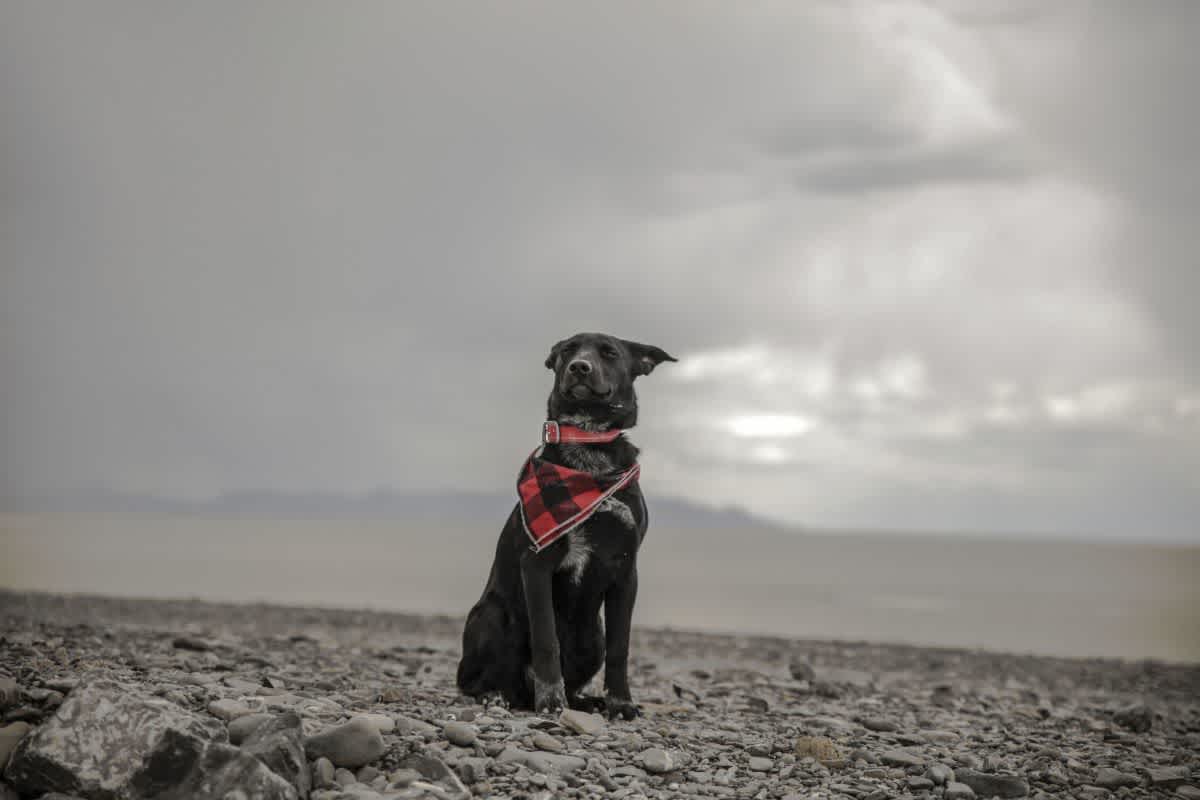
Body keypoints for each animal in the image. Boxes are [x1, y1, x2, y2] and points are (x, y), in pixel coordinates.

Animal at [453, 331, 676, 719]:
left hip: (593, 638)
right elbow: (546, 640)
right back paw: (497, 696)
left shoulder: (626, 570)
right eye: (568, 350)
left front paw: (620, 702)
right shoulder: (537, 562)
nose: (579, 367)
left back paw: (586, 701)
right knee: (475, 680)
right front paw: (551, 702)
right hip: (492, 615)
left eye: (609, 352)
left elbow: (621, 647)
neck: (588, 445)